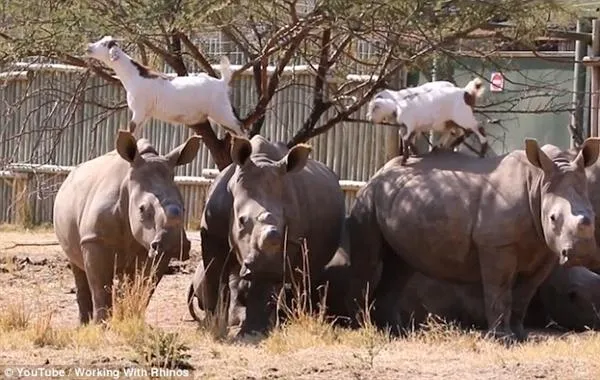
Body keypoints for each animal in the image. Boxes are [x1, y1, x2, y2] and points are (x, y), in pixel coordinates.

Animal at [84, 35, 244, 137]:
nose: (88, 47)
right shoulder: (146, 115)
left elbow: (131, 132)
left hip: (222, 111)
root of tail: (221, 82)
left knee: (241, 130)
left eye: (104, 44)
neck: (134, 76)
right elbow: (136, 136)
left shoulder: (138, 111)